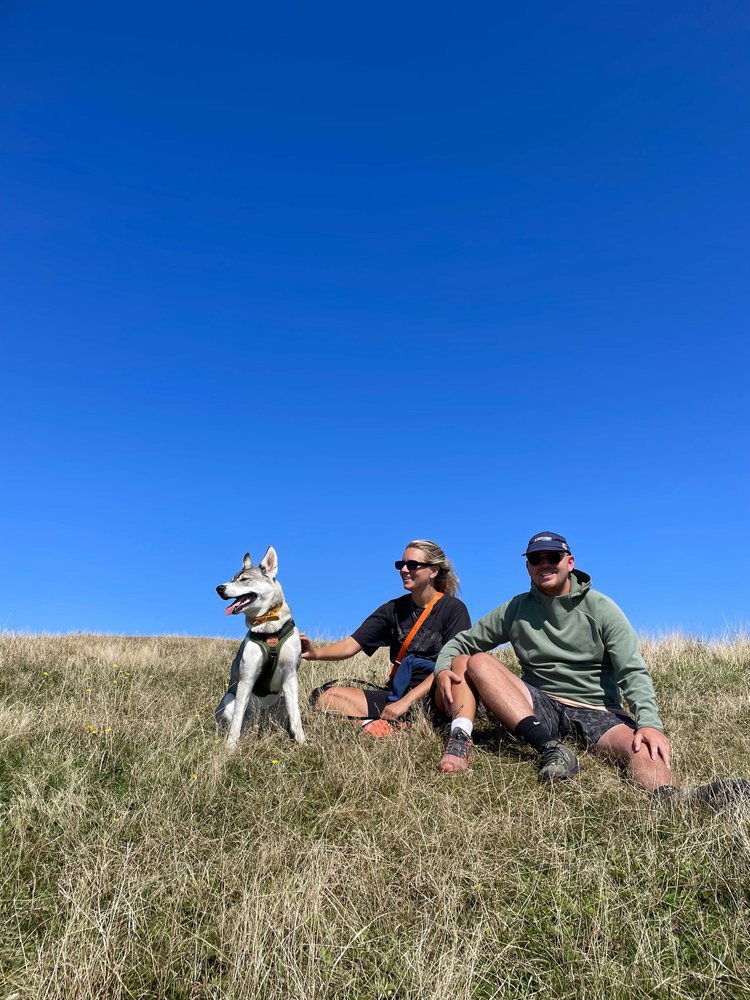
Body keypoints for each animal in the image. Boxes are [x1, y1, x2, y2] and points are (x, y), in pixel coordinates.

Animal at [214, 548, 306, 752]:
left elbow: (296, 716)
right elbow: (237, 719)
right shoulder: (247, 677)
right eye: (232, 578)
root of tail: (260, 726)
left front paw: (303, 743)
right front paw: (230, 747)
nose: (219, 588)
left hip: (280, 703)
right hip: (228, 699)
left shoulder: (290, 676)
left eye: (244, 579)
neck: (268, 627)